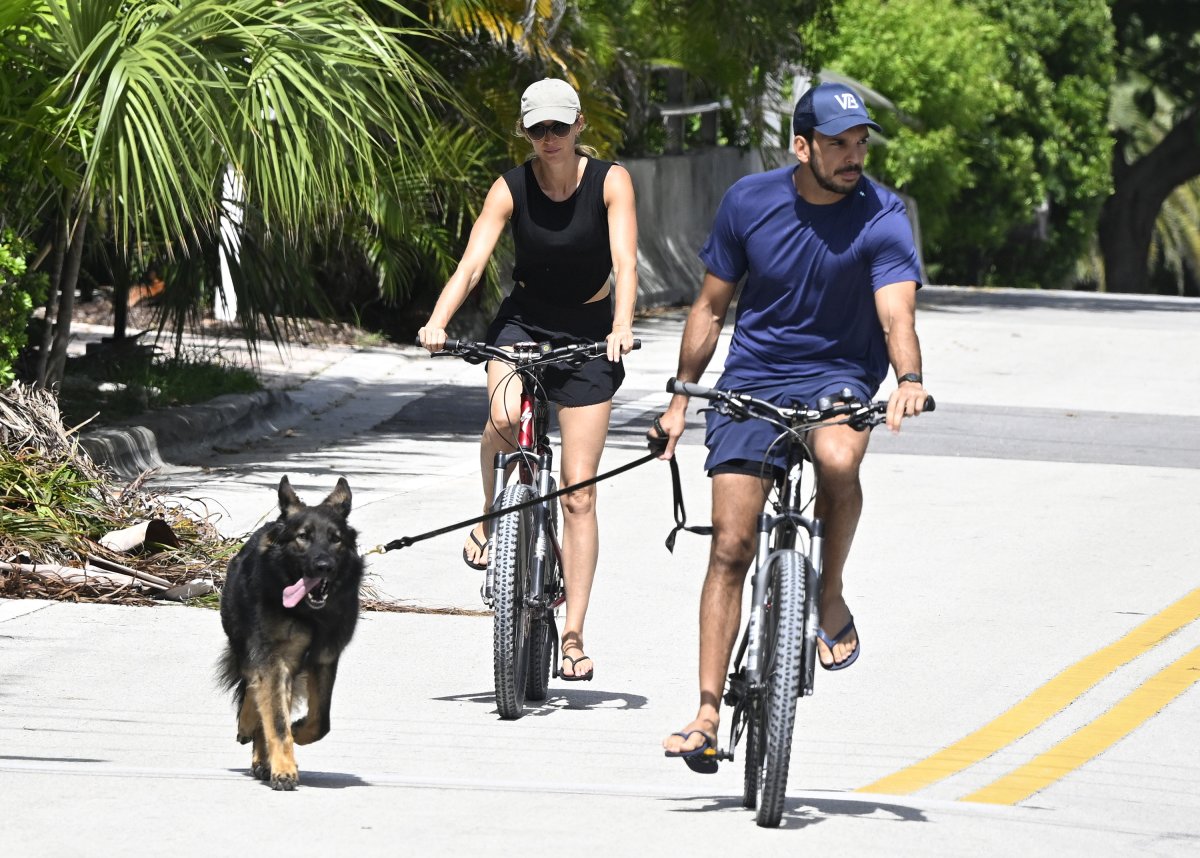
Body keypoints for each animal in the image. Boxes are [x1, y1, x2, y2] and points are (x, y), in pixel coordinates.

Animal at [218, 477, 362, 792]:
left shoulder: (324, 658)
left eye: (336, 539)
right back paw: (249, 729)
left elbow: (320, 721)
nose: (323, 566)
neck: (308, 614)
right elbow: (277, 720)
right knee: (252, 686)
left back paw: (262, 757)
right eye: (303, 537)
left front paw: (297, 734)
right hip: (246, 646)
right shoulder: (274, 659)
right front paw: (284, 769)